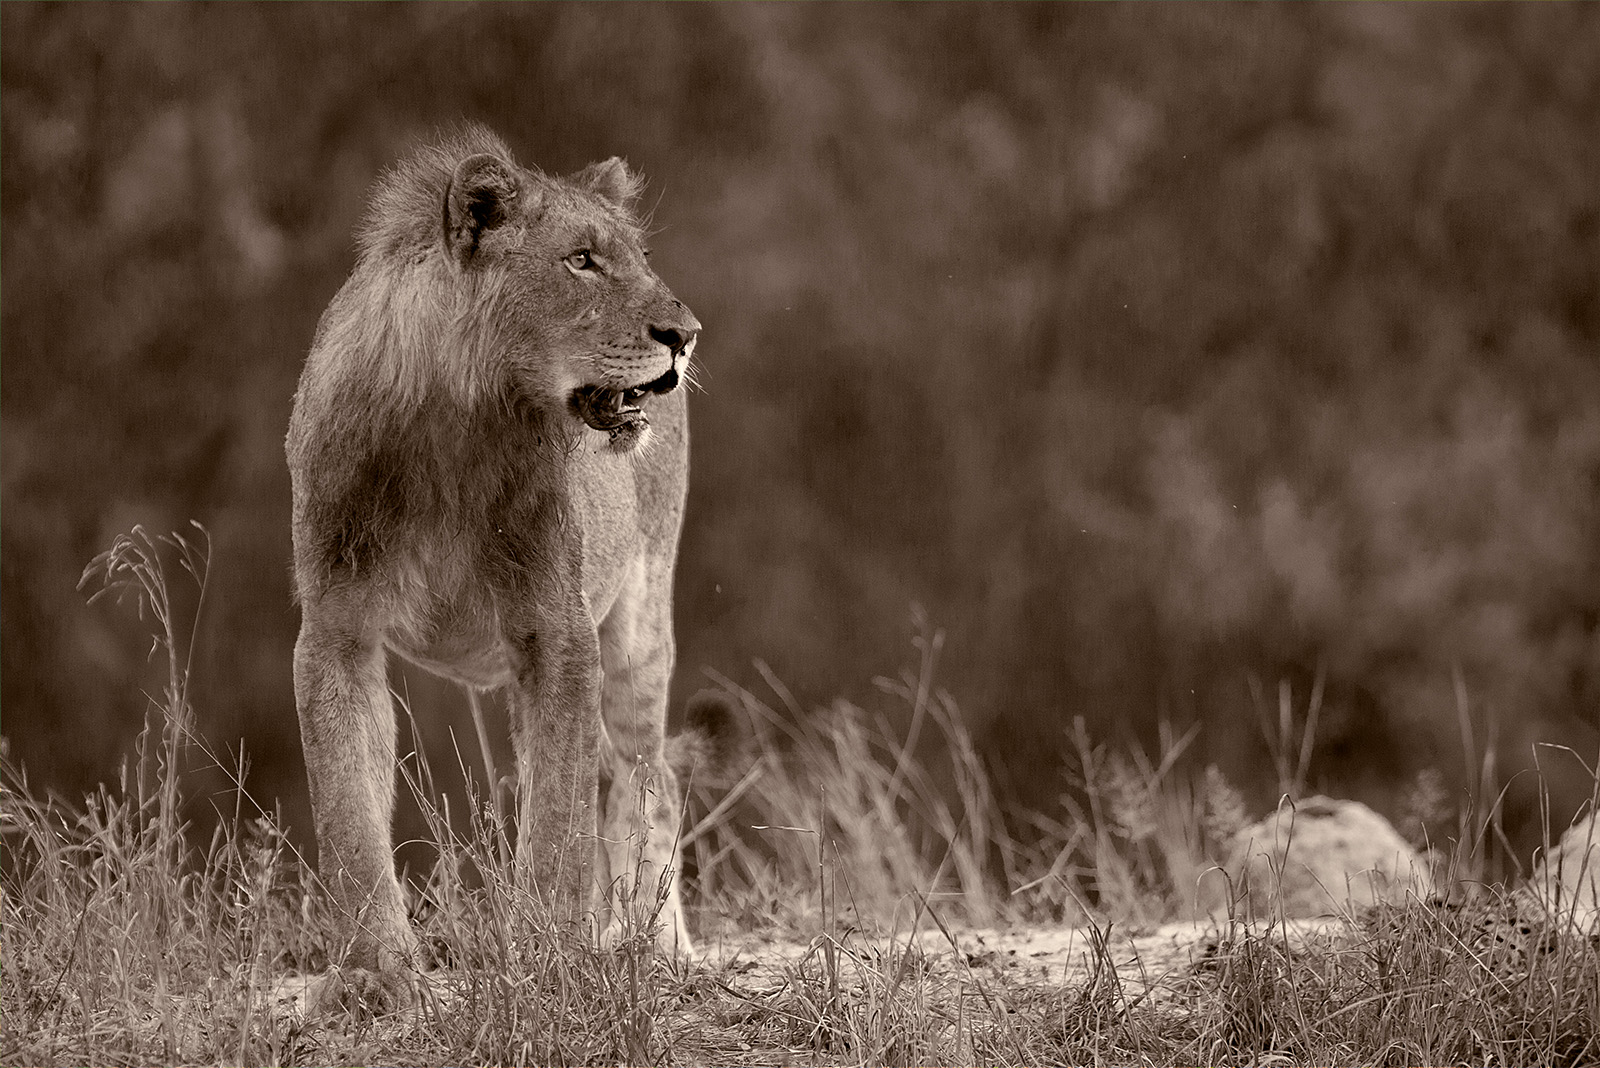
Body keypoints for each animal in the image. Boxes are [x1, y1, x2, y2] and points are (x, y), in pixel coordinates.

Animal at [285, 124, 735, 1013]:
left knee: (645, 773)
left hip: (639, 622)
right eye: (582, 260)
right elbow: (349, 813)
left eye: (638, 256)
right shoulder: (337, 633)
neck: (451, 424)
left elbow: (557, 826)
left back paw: (657, 947)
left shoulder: (557, 629)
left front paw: (547, 959)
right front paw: (377, 974)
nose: (687, 333)